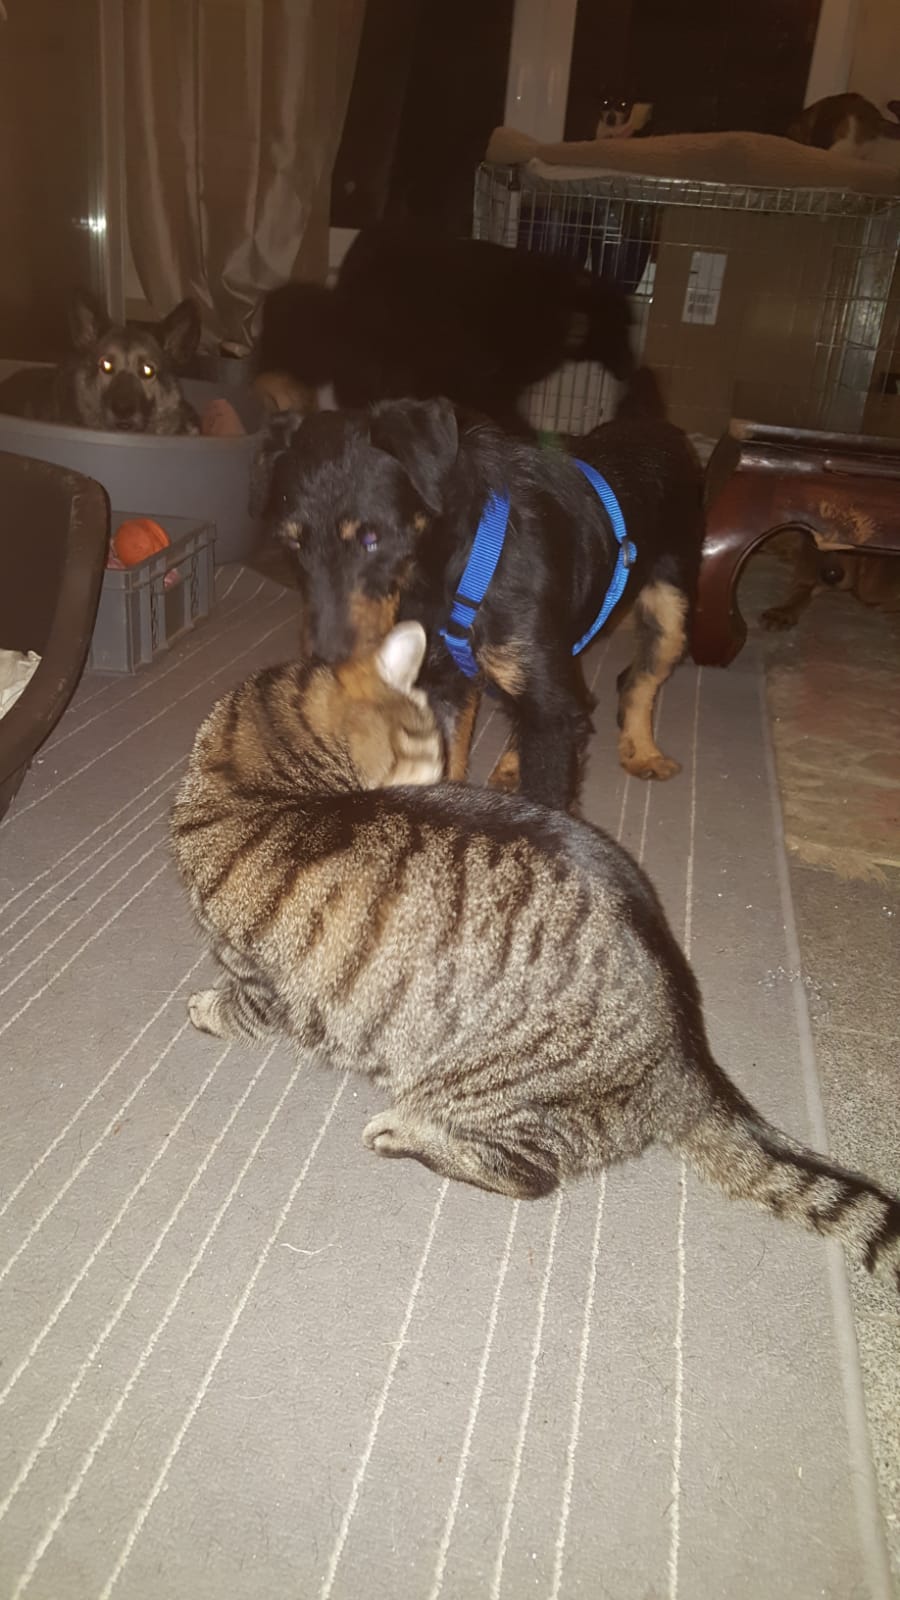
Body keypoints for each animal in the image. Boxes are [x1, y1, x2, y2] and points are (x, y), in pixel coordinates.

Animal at [170, 622, 900, 1290]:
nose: (435, 784)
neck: (256, 789)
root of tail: (686, 1063)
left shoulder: (263, 981)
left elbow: (238, 1007)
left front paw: (205, 1009)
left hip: (489, 1093)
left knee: (529, 1175)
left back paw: (405, 1132)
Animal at [257, 369, 703, 813]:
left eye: (371, 537)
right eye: (292, 543)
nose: (327, 663)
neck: (451, 569)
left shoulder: (551, 717)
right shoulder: (446, 687)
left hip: (671, 615)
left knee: (638, 680)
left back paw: (642, 751)